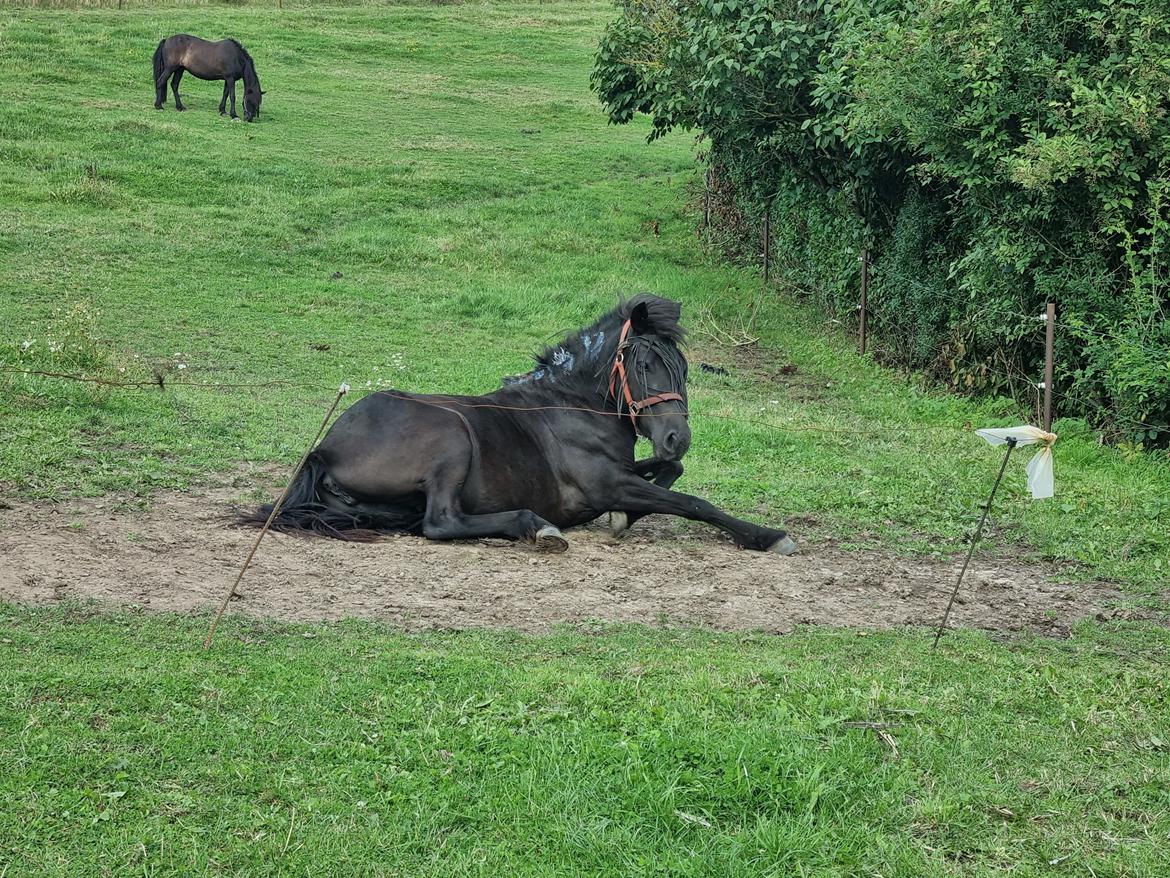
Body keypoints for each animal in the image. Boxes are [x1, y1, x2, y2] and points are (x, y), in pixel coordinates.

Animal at [242, 296, 800, 557]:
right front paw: (767, 535)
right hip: (451, 438)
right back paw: (536, 526)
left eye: (682, 367)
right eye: (644, 365)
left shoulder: (628, 473)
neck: (572, 404)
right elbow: (693, 501)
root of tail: (325, 447)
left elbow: (672, 475)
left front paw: (623, 520)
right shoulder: (608, 483)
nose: (675, 436)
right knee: (439, 522)